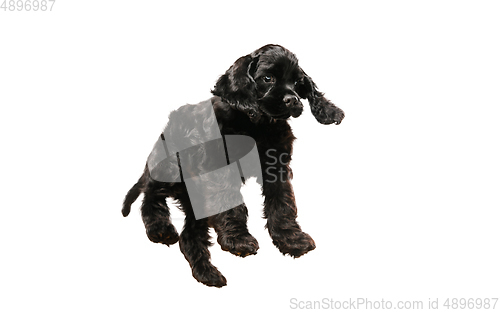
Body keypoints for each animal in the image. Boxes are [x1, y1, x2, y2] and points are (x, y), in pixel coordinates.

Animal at [123, 45, 346, 286]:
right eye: (268, 78)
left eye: (297, 82)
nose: (293, 100)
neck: (256, 125)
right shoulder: (220, 170)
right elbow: (231, 202)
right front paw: (238, 240)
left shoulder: (276, 168)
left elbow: (282, 203)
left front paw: (290, 239)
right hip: (170, 168)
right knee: (150, 194)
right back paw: (160, 228)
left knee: (188, 236)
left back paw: (208, 274)